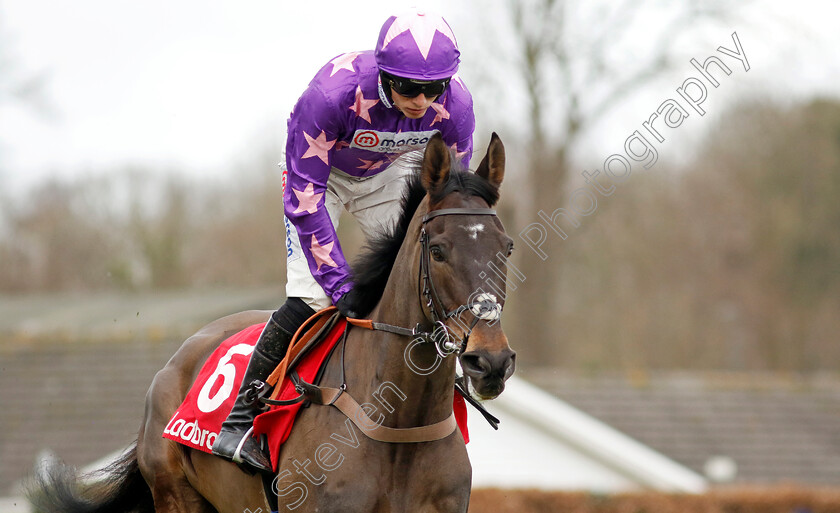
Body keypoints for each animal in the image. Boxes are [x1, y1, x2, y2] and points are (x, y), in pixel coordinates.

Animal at [32, 133, 516, 512]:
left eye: (507, 247)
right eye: (438, 250)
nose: (490, 361)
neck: (398, 425)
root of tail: (176, 360)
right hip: (175, 495)